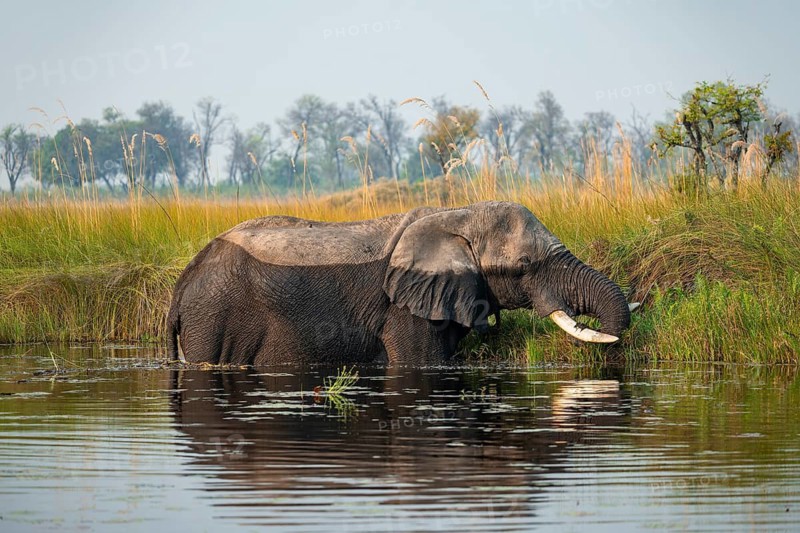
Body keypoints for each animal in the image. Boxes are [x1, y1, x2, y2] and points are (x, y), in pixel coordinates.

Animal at [167, 201, 636, 365]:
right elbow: (419, 363)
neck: (458, 214)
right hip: (214, 316)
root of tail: (183, 281)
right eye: (524, 265)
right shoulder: (403, 309)